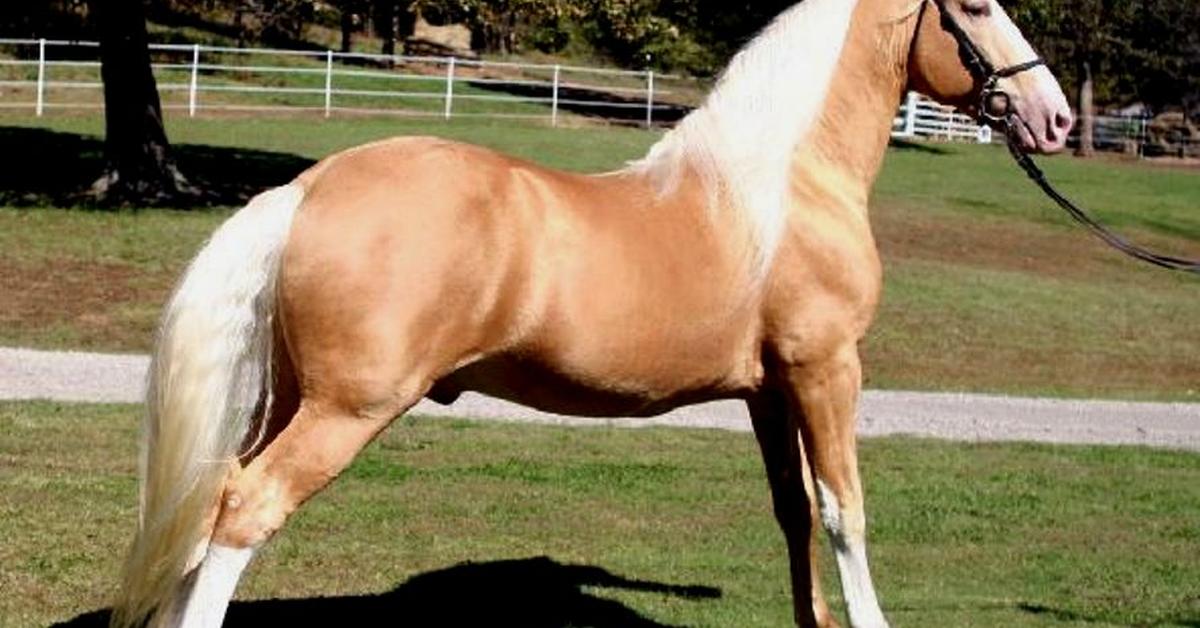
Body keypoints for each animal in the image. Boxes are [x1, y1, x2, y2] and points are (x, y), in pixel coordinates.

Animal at [112, 0, 1070, 624]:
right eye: (974, 4)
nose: (1054, 116)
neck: (782, 184)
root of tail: (308, 188)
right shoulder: (828, 370)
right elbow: (846, 512)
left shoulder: (768, 392)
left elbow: (795, 513)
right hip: (347, 411)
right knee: (245, 510)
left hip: (285, 401)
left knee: (209, 506)